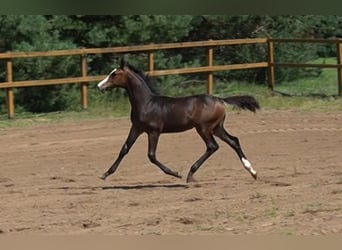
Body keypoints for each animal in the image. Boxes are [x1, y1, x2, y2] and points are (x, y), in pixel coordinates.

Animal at [97, 59, 258, 183]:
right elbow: (124, 149)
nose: (100, 86)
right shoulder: (137, 128)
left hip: (204, 128)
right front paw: (105, 174)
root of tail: (219, 99)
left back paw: (190, 174)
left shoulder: (154, 131)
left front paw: (175, 173)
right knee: (233, 141)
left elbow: (151, 155)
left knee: (212, 146)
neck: (147, 103)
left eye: (114, 74)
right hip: (216, 127)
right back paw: (252, 171)